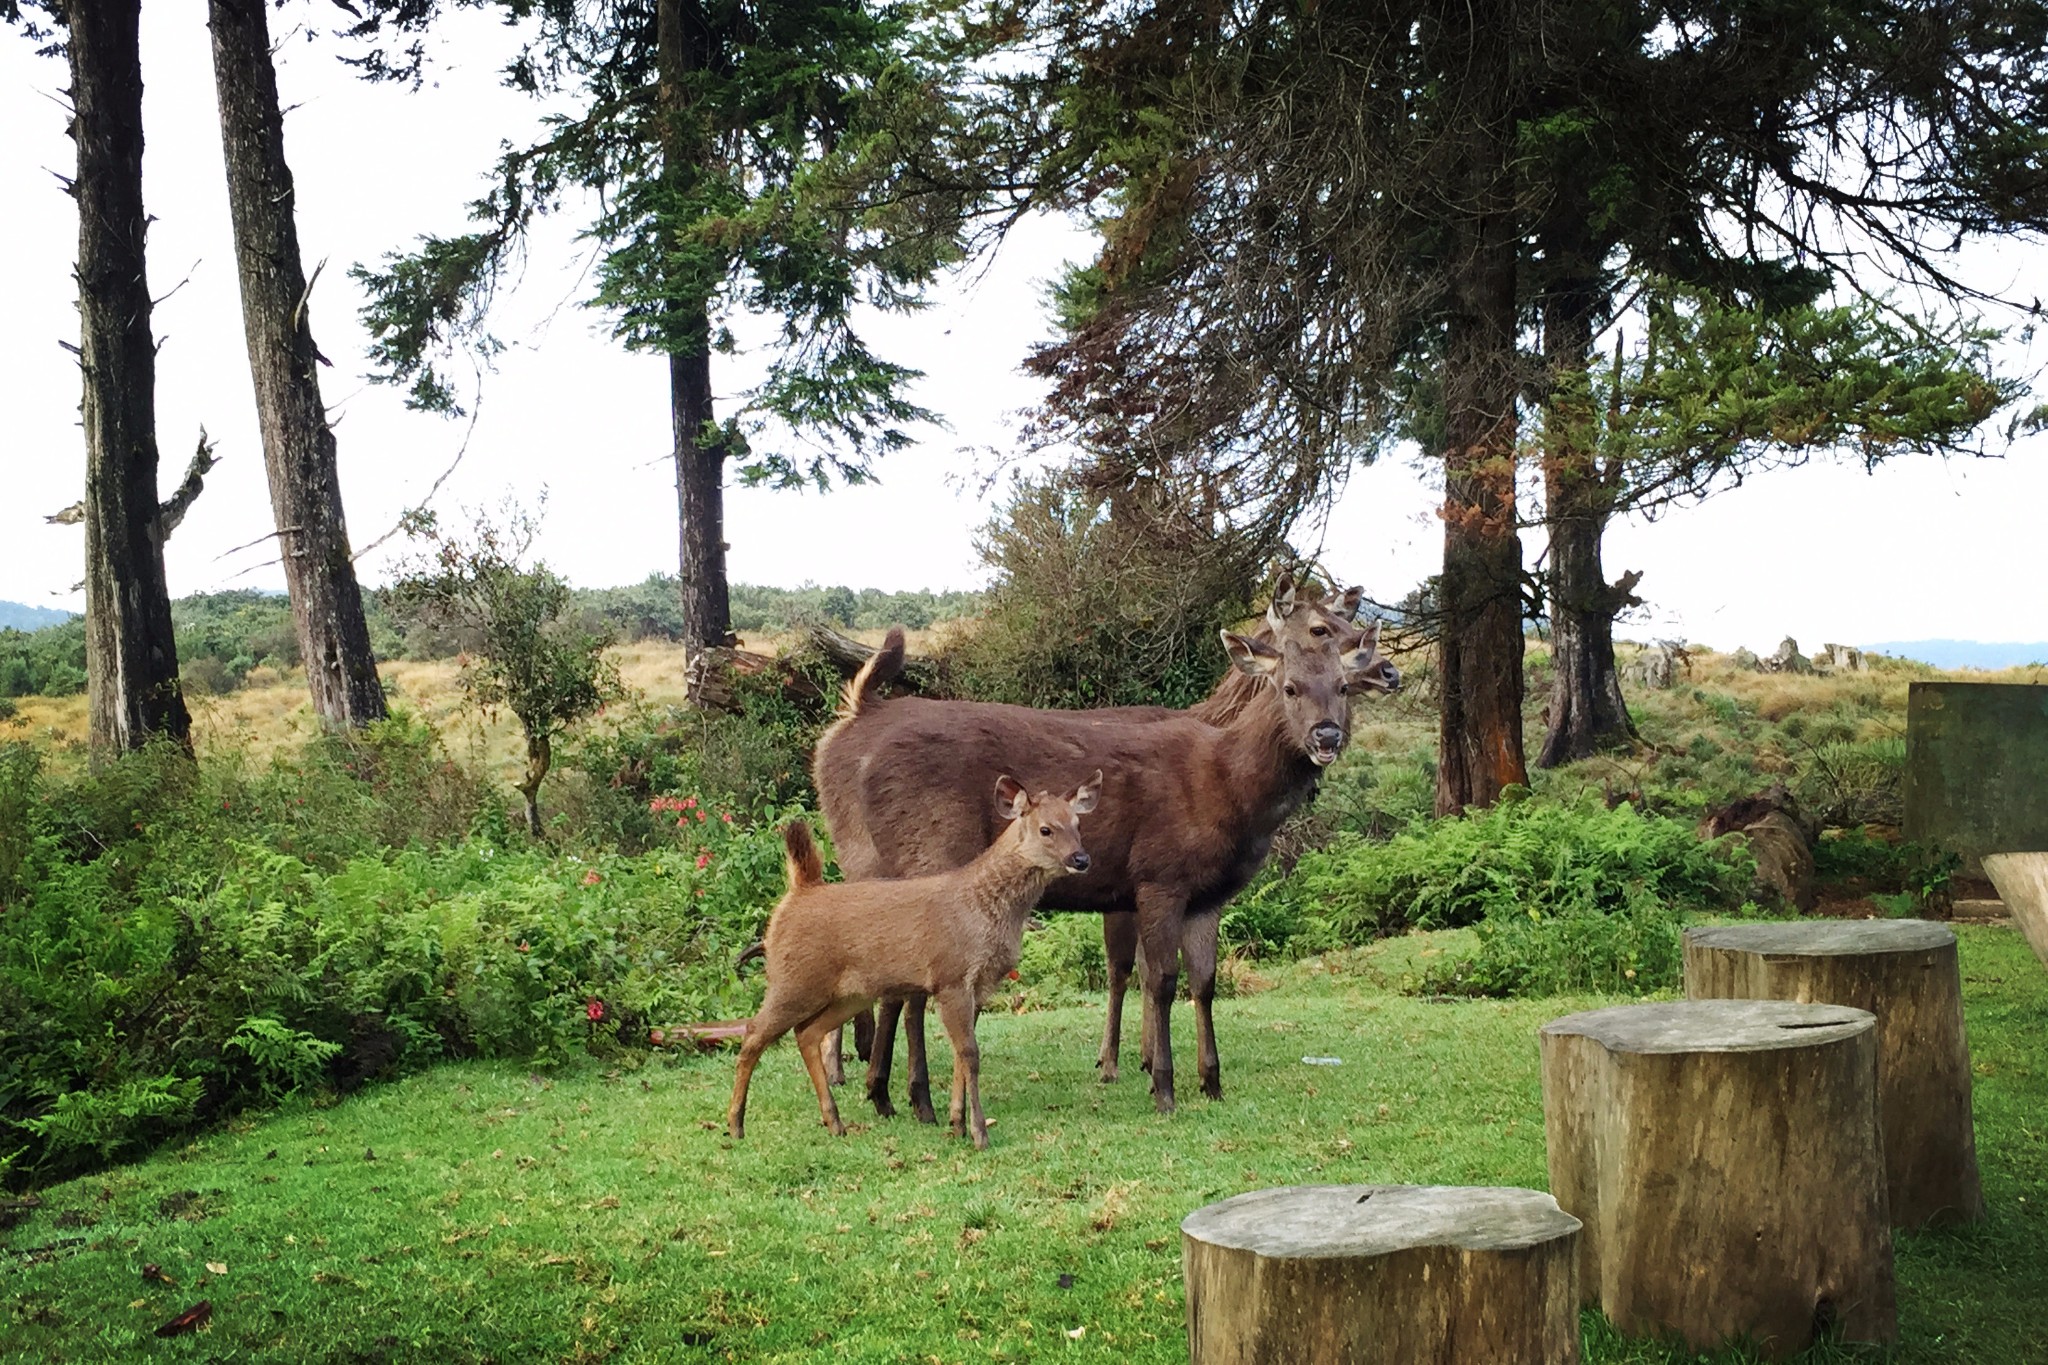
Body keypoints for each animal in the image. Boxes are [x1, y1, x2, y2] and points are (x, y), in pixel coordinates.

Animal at [811, 581, 1392, 1113]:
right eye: (1291, 685)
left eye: (1342, 686)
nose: (1326, 736)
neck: (1228, 789)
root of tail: (852, 719)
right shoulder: (1158, 875)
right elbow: (1158, 979)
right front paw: (1161, 1085)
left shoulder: (1207, 894)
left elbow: (1204, 981)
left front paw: (1211, 1081)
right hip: (926, 853)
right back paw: (909, 1095)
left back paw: (885, 1090)